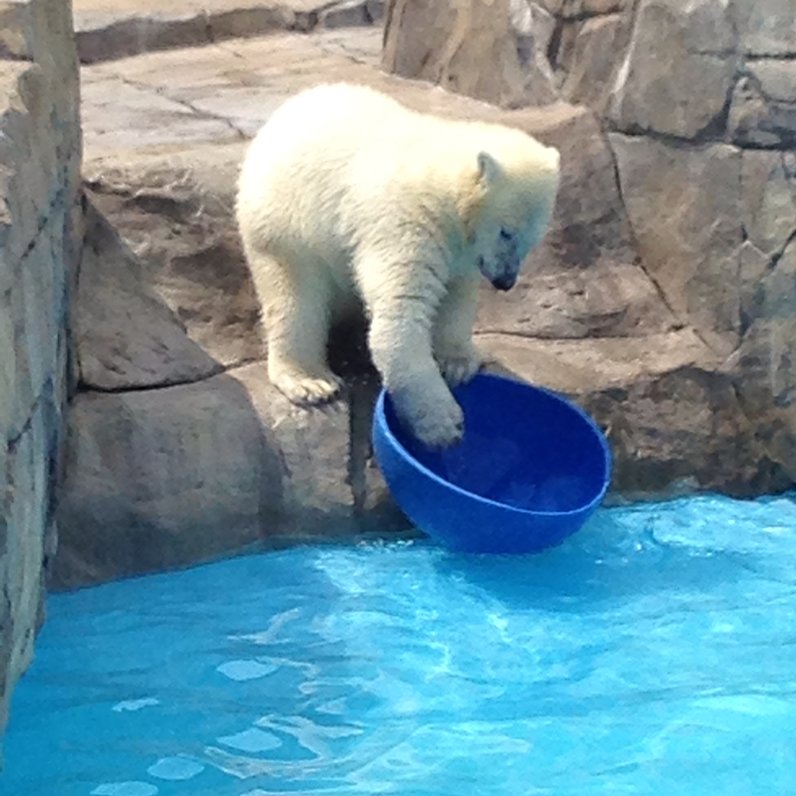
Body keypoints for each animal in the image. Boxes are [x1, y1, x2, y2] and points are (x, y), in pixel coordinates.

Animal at [236, 84, 560, 450]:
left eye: (532, 239)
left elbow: (456, 297)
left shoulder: (460, 253)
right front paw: (444, 424)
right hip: (287, 225)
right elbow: (401, 316)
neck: (441, 183)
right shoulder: (405, 225)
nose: (505, 281)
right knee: (296, 298)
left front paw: (458, 362)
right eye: (506, 232)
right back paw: (310, 381)